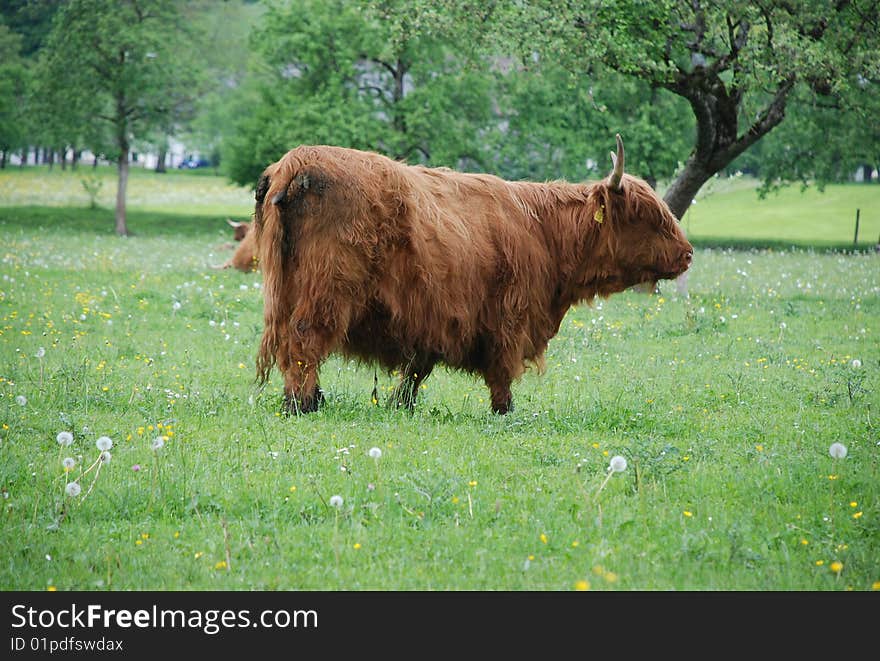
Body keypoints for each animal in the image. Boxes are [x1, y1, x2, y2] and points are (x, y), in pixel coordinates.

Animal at [251, 135, 692, 412]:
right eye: (646, 215)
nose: (687, 254)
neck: (544, 232)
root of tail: (295, 163)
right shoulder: (508, 320)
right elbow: (501, 377)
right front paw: (504, 412)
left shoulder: (430, 321)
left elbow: (416, 372)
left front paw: (399, 406)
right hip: (325, 294)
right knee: (305, 344)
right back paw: (304, 404)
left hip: (283, 292)